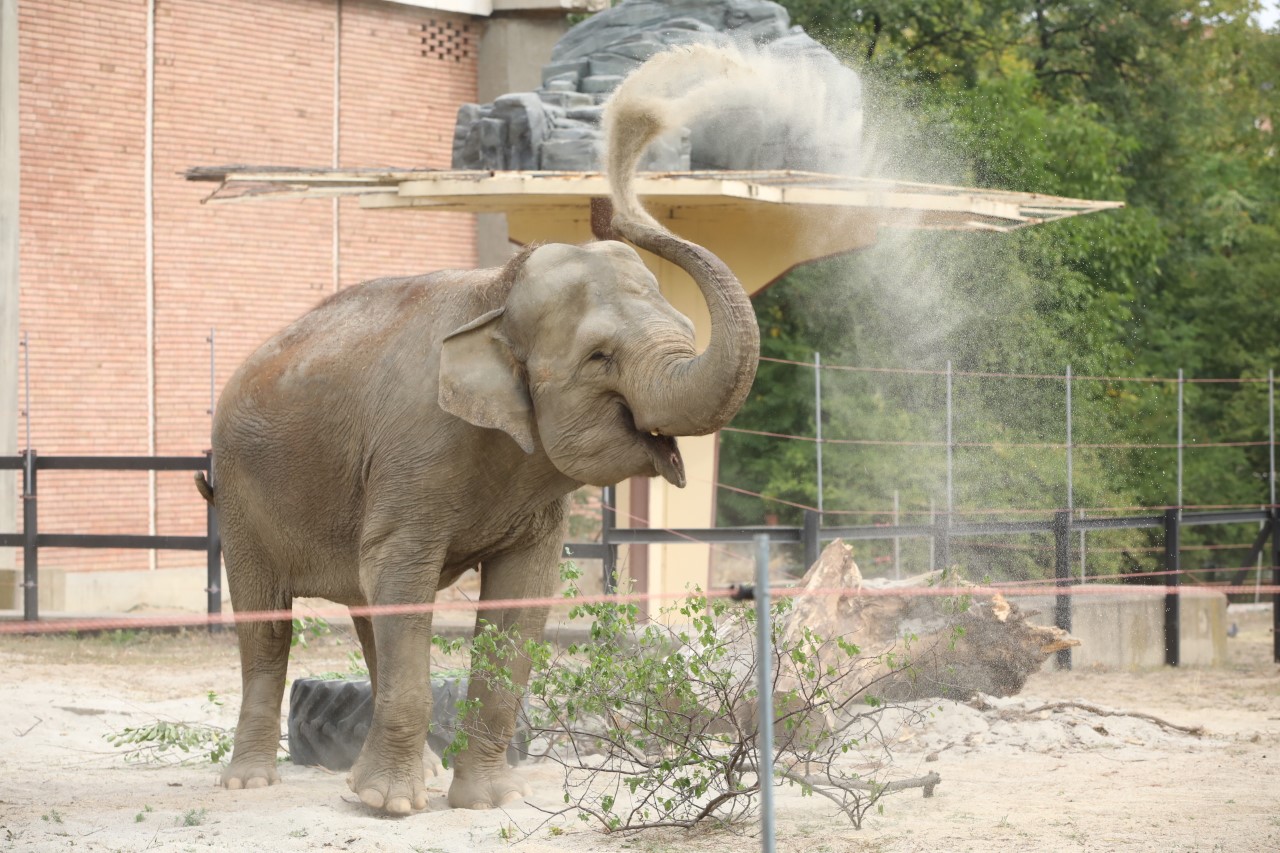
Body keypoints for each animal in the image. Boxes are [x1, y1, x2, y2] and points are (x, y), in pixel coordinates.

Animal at [192, 84, 757, 809]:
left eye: (687, 327)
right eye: (600, 358)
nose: (605, 204)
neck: (497, 291)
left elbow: (518, 595)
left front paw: (484, 800)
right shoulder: (414, 455)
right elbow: (401, 574)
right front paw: (391, 806)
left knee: (367, 607)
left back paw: (410, 775)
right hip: (240, 492)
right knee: (269, 625)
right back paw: (252, 780)